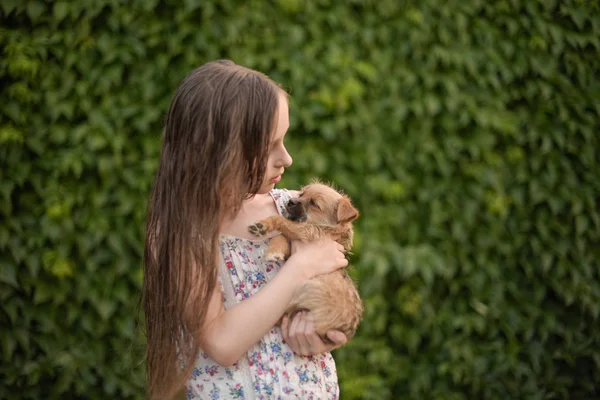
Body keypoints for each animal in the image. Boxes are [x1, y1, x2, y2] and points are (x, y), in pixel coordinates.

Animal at [247, 183, 364, 342]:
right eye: (301, 194)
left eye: (315, 204)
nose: (290, 201)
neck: (330, 230)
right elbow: (282, 237)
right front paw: (274, 250)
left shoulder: (308, 231)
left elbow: (281, 221)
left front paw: (264, 225)